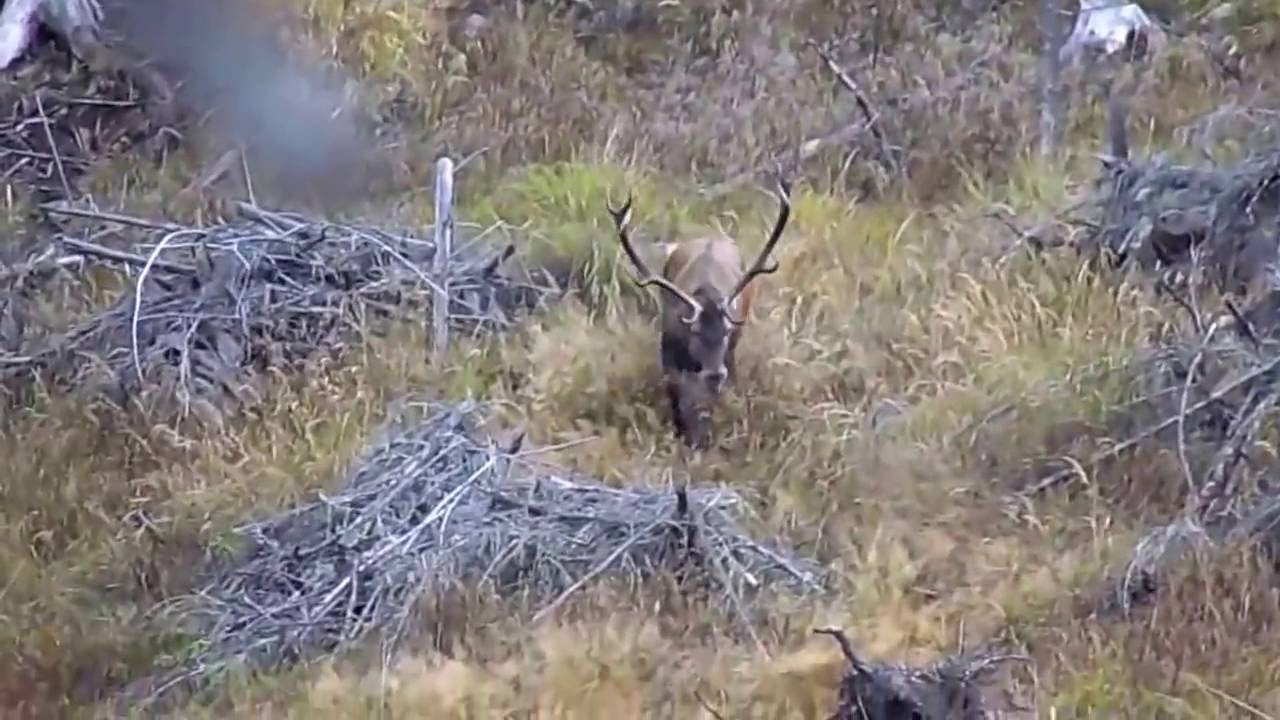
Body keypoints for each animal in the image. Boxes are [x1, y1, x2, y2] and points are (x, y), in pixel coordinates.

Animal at [604, 178, 793, 449]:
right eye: (694, 331)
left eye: (726, 330)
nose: (715, 374)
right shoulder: (667, 345)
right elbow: (675, 394)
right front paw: (682, 435)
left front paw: (704, 437)